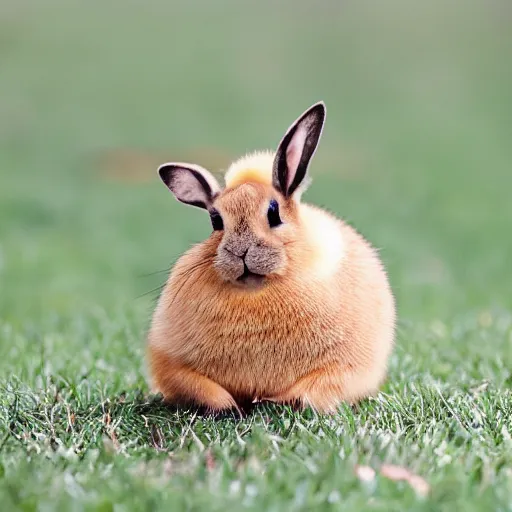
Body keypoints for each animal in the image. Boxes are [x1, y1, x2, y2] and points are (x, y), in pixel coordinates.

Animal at [148, 102, 396, 414]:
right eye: (216, 220)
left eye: (274, 212)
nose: (240, 252)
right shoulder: (174, 366)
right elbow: (202, 387)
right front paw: (230, 408)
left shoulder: (340, 371)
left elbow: (307, 392)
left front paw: (273, 403)